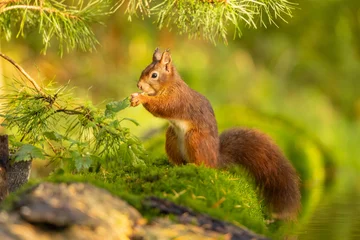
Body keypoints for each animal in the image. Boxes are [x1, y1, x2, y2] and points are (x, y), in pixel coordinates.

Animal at [130, 48, 300, 219]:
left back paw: (195, 167)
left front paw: (141, 98)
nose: (138, 85)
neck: (170, 85)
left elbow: (162, 107)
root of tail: (216, 159)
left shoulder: (177, 98)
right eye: (144, 70)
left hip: (194, 139)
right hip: (172, 136)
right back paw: (175, 166)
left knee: (204, 165)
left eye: (154, 75)